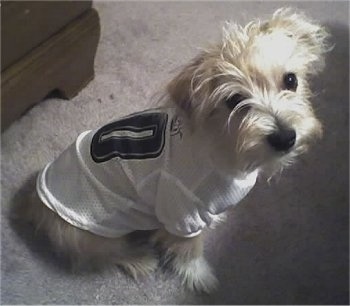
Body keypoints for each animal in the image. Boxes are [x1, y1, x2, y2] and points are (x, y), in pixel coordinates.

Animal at [18, 7, 330, 294]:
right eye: (234, 100)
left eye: (290, 80)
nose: (285, 137)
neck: (221, 144)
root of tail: (33, 200)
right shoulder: (183, 216)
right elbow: (189, 251)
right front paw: (200, 277)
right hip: (96, 230)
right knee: (101, 255)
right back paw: (137, 259)